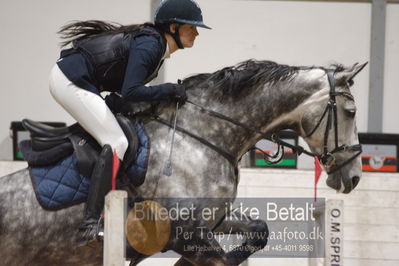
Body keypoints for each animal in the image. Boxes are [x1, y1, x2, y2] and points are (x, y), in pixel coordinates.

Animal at [0, 59, 368, 264]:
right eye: (350, 112)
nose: (354, 177)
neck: (205, 135)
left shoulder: (212, 221)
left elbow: (258, 231)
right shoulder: (185, 233)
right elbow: (219, 260)